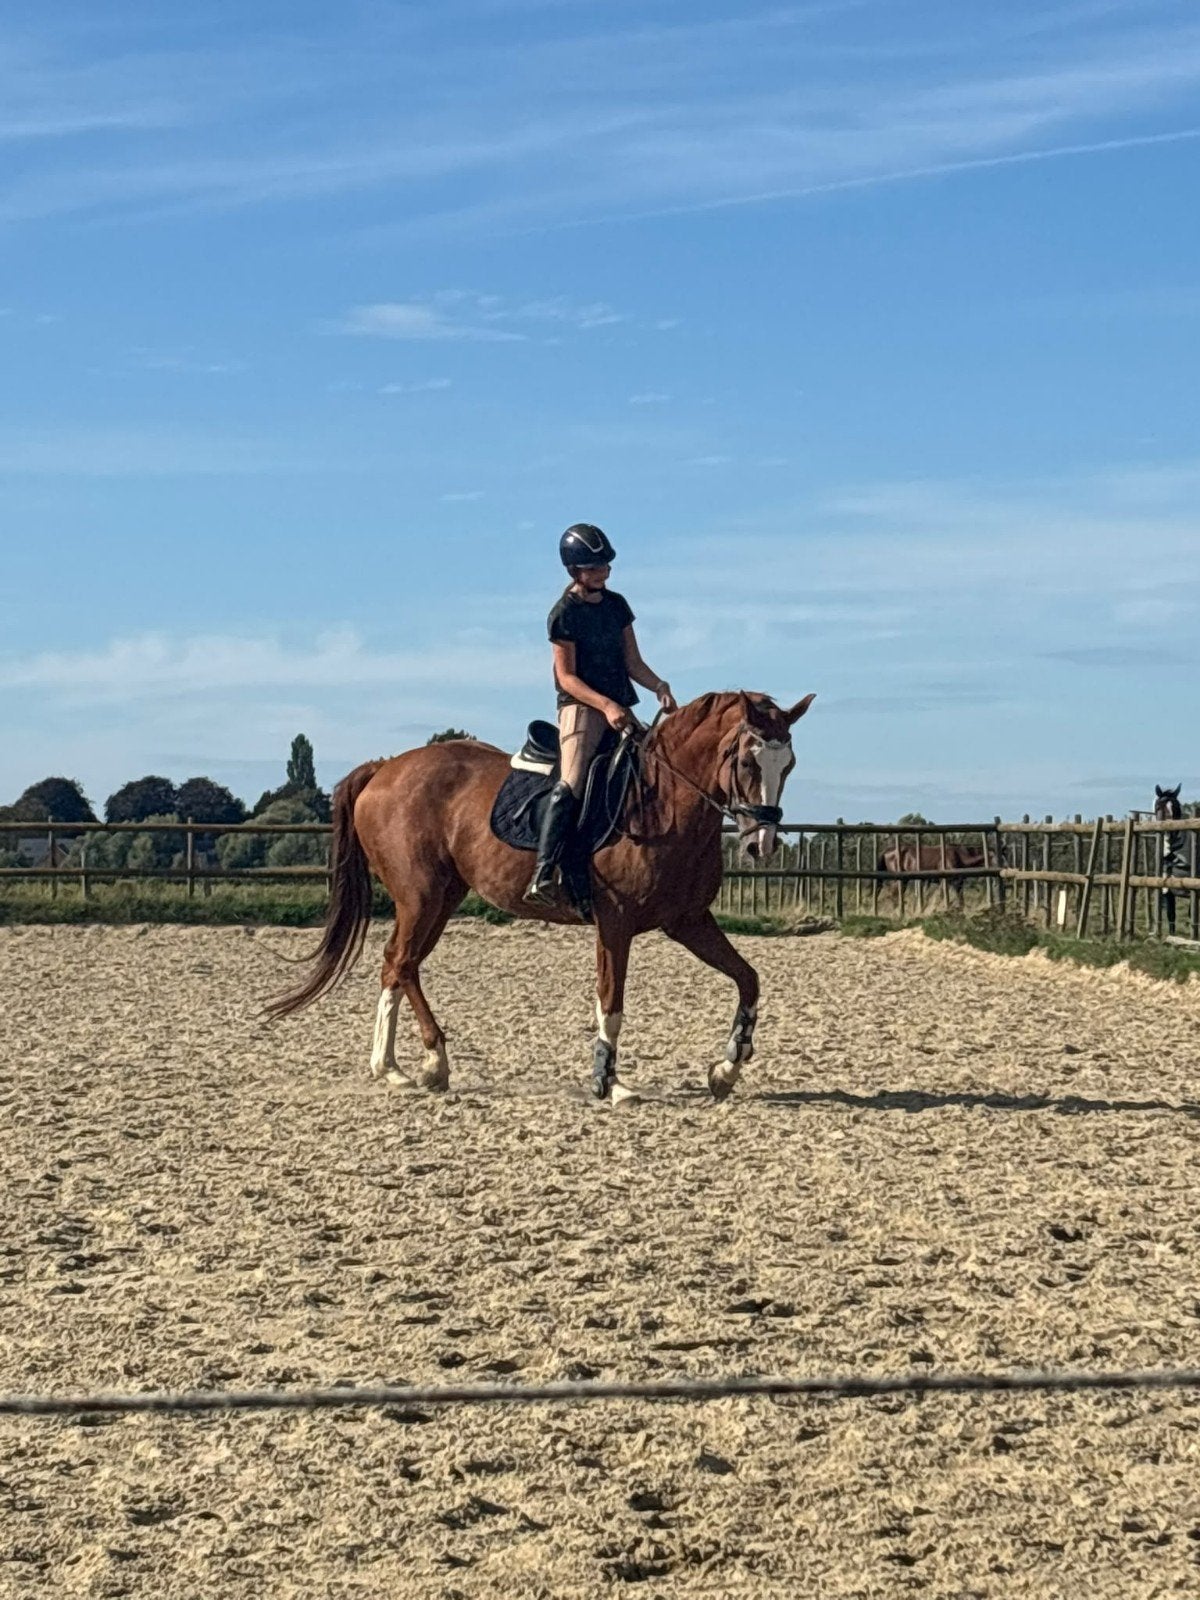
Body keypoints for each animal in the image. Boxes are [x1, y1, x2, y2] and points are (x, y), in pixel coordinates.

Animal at [268, 690, 815, 1101]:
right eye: (746, 760)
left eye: (789, 764)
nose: (761, 844)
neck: (665, 801)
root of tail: (384, 769)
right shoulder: (615, 923)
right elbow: (611, 1002)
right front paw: (610, 1084)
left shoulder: (689, 921)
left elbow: (748, 979)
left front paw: (727, 1067)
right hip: (420, 896)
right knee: (402, 962)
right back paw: (433, 1062)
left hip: (440, 898)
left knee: (396, 965)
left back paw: (393, 1068)